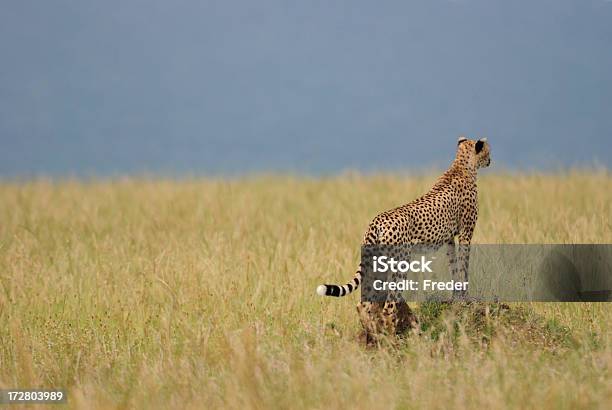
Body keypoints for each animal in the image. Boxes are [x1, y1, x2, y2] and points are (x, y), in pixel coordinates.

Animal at [316, 137, 492, 342]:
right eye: (488, 151)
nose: (490, 160)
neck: (461, 165)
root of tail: (376, 220)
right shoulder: (465, 232)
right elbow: (464, 265)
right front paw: (465, 296)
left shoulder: (449, 239)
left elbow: (454, 266)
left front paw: (457, 296)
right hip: (400, 263)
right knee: (388, 306)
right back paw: (394, 337)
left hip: (376, 263)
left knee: (365, 304)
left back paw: (373, 334)